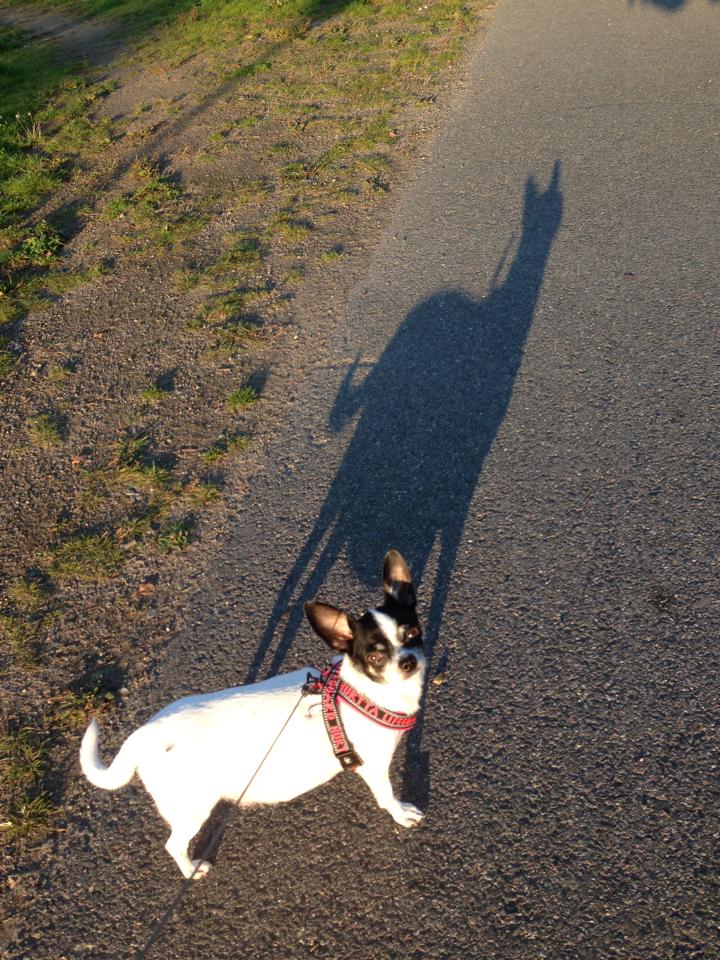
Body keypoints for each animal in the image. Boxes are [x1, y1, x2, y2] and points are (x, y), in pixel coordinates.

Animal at [80, 550, 426, 879]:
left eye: (412, 633)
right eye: (375, 656)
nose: (408, 661)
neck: (363, 692)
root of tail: (145, 734)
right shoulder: (374, 768)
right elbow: (386, 795)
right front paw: (400, 813)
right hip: (192, 807)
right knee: (174, 844)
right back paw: (191, 870)